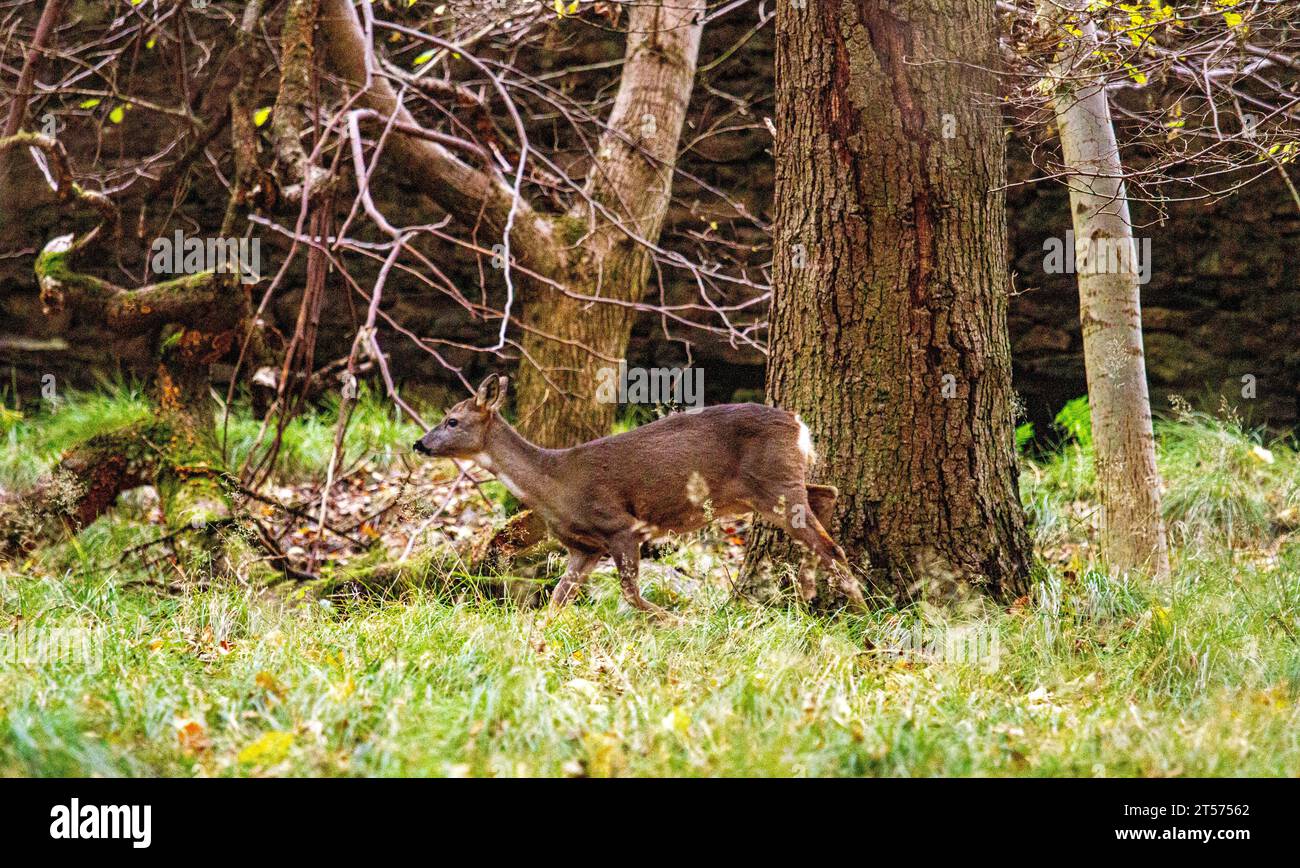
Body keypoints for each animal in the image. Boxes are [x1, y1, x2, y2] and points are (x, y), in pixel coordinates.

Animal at [410, 374, 868, 615]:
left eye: (452, 421)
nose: (419, 444)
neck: (554, 482)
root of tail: (798, 423)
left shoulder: (621, 526)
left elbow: (631, 595)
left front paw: (675, 621)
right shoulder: (584, 547)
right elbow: (557, 600)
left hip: (775, 484)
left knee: (831, 543)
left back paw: (859, 610)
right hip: (767, 489)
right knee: (826, 493)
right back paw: (810, 592)